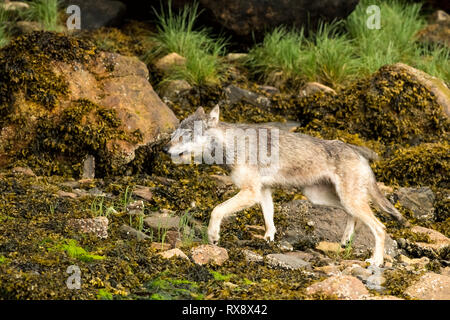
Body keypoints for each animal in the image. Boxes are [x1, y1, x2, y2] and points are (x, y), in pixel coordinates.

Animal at [165, 106, 408, 266]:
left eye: (186, 135)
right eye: (175, 134)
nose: (164, 149)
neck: (232, 145)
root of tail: (360, 155)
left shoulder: (251, 193)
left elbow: (216, 210)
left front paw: (213, 236)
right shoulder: (263, 192)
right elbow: (269, 221)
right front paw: (268, 241)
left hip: (346, 200)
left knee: (380, 227)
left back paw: (376, 261)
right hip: (325, 198)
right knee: (355, 218)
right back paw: (344, 242)